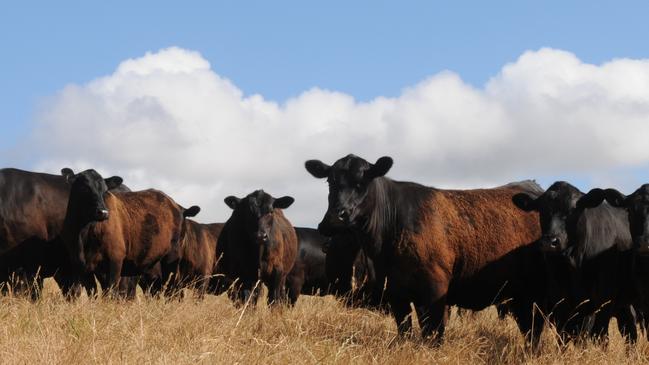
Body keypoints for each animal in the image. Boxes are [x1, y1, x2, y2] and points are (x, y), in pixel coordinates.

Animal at [60, 169, 197, 294]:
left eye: (105, 191)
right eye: (84, 188)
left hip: (173, 258)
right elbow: (83, 292)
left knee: (171, 288)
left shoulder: (115, 260)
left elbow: (110, 292)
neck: (83, 234)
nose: (103, 212)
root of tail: (175, 205)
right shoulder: (78, 264)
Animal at [512, 182, 636, 342]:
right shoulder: (560, 299)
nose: (550, 242)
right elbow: (564, 335)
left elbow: (595, 334)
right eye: (542, 209)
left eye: (572, 210)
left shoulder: (602, 299)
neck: (574, 263)